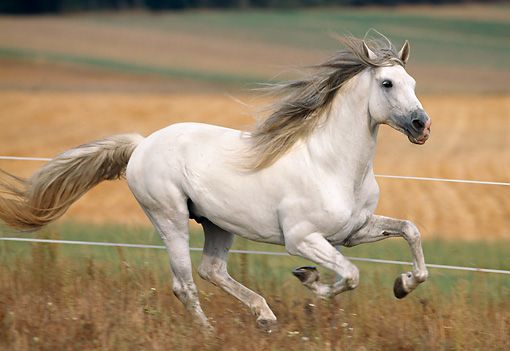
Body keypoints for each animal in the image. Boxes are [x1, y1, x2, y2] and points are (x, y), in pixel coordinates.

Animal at [0, 35, 430, 332]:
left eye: (412, 80)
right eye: (388, 83)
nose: (421, 125)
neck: (332, 165)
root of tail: (142, 145)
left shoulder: (354, 231)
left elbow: (410, 230)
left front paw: (403, 284)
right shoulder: (303, 239)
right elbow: (351, 275)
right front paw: (310, 279)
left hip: (217, 224)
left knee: (212, 271)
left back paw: (264, 316)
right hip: (170, 218)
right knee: (185, 283)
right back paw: (209, 331)